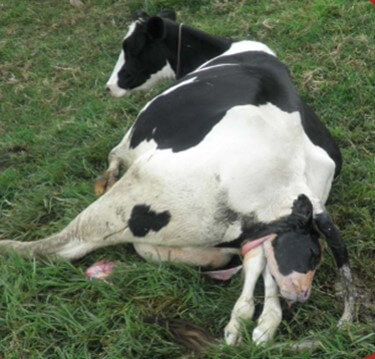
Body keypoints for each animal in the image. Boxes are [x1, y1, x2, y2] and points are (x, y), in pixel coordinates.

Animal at [1, 13, 356, 346]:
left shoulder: (133, 138)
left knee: (67, 242)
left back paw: (11, 247)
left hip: (136, 195)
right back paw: (255, 324)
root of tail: (298, 184)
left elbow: (114, 154)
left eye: (130, 46)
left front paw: (105, 176)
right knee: (261, 261)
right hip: (256, 230)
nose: (110, 86)